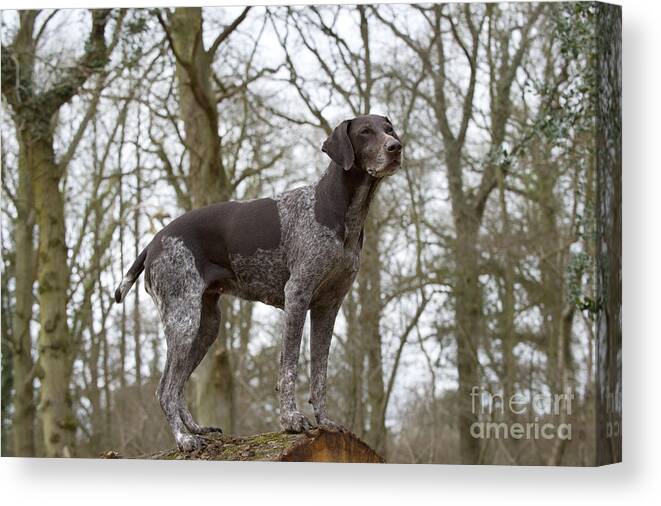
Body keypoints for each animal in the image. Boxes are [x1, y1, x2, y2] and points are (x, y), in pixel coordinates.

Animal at [114, 114, 402, 450]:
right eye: (365, 132)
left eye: (389, 130)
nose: (396, 147)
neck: (341, 211)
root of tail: (154, 242)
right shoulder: (297, 296)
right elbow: (289, 366)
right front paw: (291, 420)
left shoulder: (328, 308)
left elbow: (320, 373)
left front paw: (325, 421)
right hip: (183, 322)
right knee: (165, 389)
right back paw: (183, 438)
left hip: (206, 327)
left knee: (179, 386)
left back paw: (195, 429)